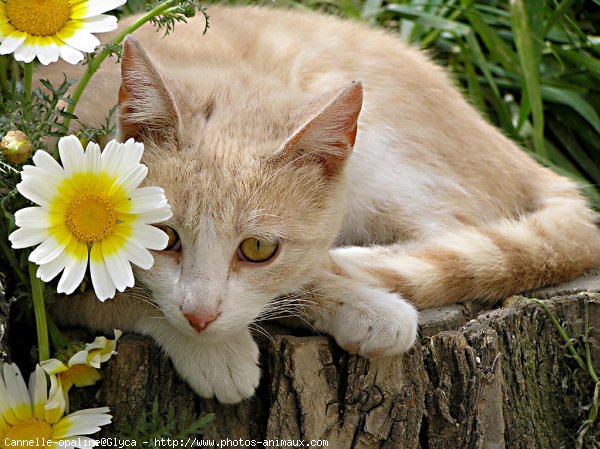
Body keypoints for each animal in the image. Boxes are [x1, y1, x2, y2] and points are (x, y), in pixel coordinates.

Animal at [41, 3, 600, 402]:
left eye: (259, 249)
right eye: (165, 237)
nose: (200, 317)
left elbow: (298, 272)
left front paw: (354, 303)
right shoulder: (39, 280)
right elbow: (115, 296)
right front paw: (217, 351)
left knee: (459, 230)